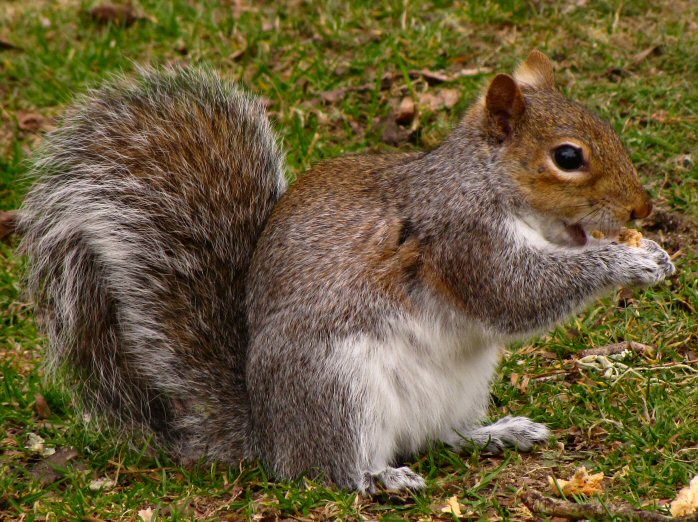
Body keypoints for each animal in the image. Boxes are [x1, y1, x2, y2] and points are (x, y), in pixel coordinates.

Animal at [16, 50, 672, 490]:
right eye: (567, 157)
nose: (641, 210)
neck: (487, 183)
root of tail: (270, 439)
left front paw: (652, 252)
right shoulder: (459, 237)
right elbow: (515, 295)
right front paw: (627, 260)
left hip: (458, 386)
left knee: (436, 435)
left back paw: (495, 432)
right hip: (337, 385)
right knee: (334, 468)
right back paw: (379, 479)